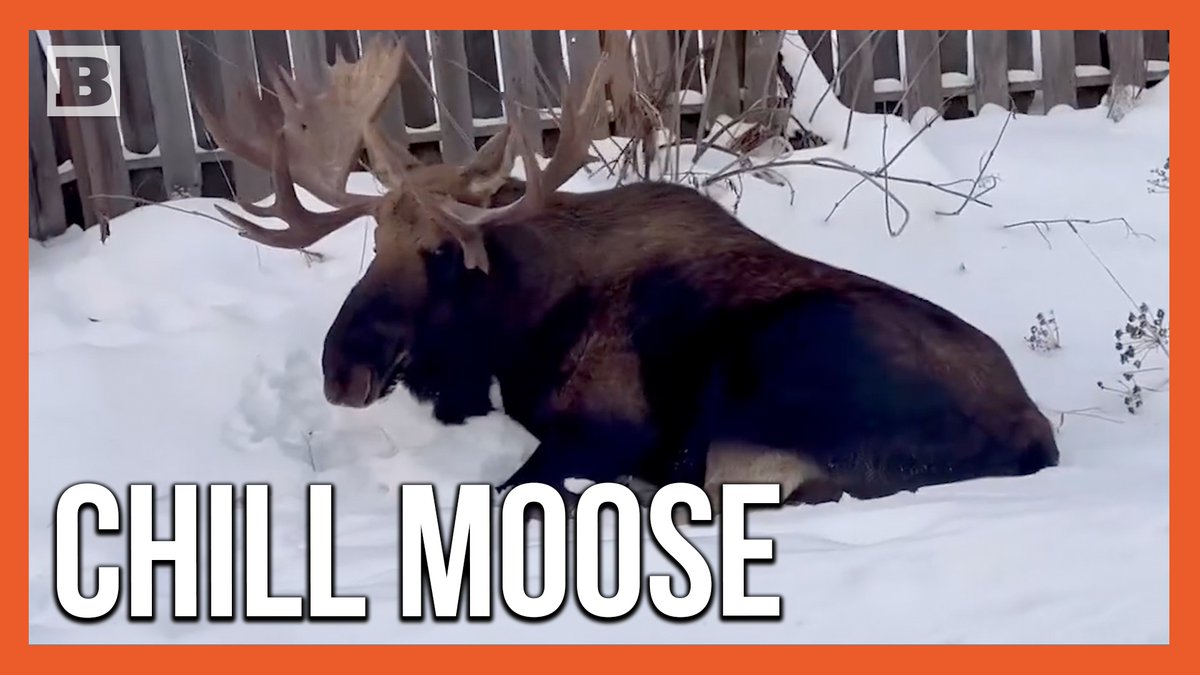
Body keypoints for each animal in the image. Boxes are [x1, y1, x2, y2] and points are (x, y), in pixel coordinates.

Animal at [194, 34, 1059, 515]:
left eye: (443, 252)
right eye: (374, 241)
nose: (341, 367)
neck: (513, 334)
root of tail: (1037, 435)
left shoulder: (608, 428)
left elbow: (507, 496)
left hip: (780, 367)